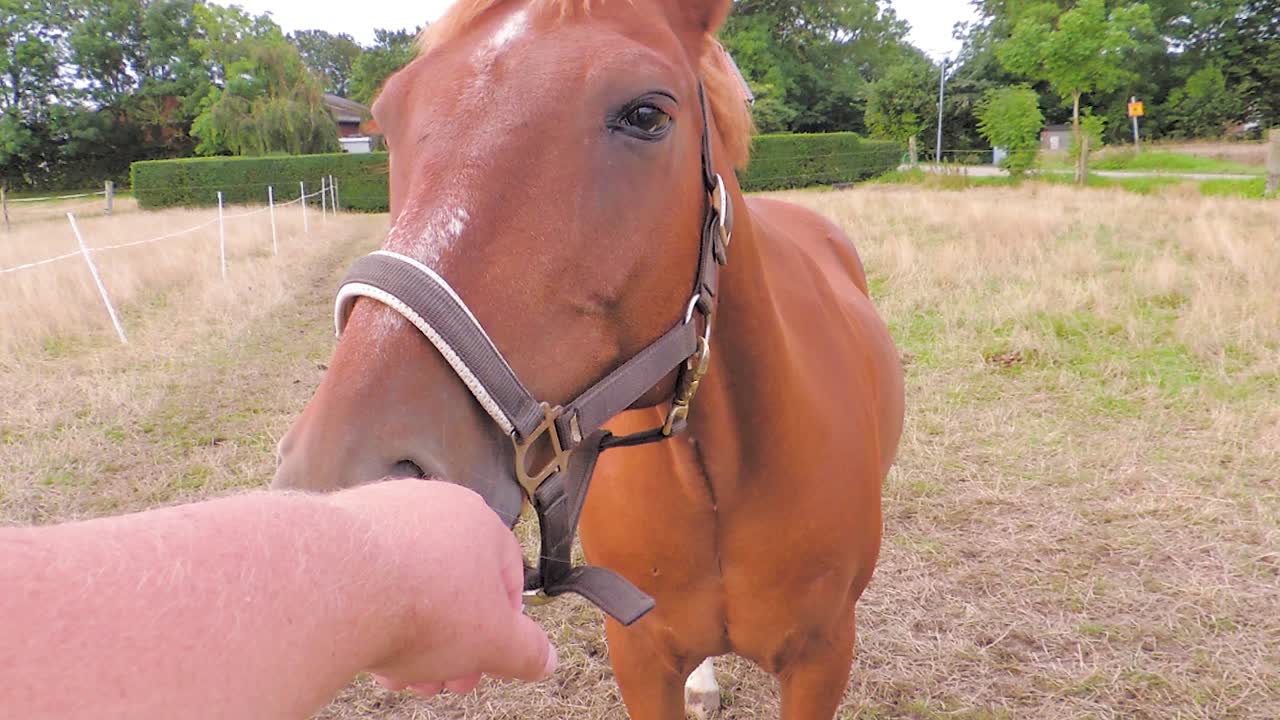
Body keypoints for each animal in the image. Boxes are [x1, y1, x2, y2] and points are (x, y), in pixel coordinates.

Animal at [271, 1, 906, 718]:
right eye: (391, 116)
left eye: (647, 115)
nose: (342, 487)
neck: (720, 475)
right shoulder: (641, 657)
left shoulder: (821, 661)